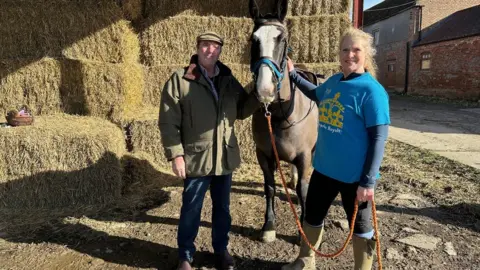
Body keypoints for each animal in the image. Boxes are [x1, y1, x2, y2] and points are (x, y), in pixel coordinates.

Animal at [248, 0, 318, 243]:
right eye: (253, 40)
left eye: (283, 39)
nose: (264, 90)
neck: (279, 115)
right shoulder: (264, 155)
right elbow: (269, 187)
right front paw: (269, 225)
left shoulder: (305, 156)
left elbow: (303, 190)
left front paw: (303, 232)